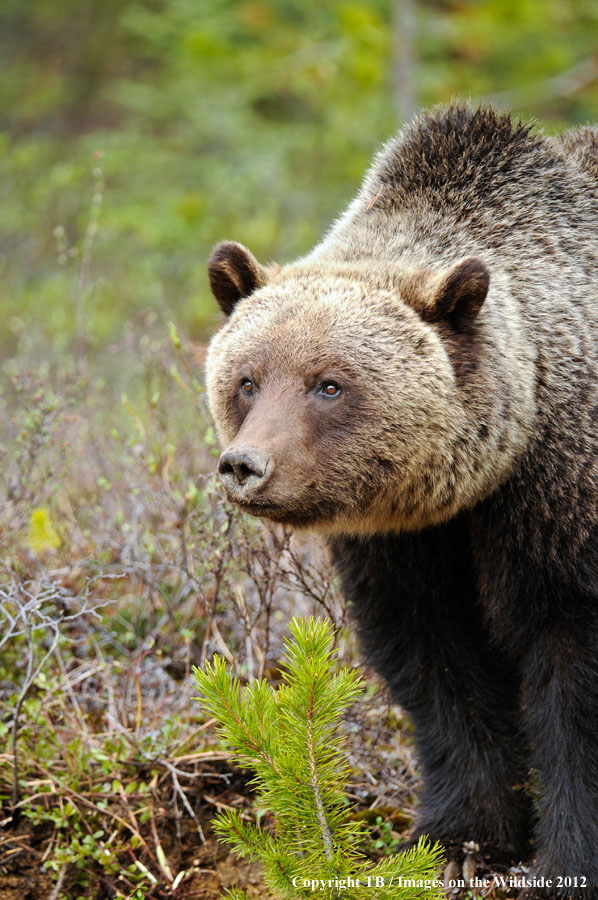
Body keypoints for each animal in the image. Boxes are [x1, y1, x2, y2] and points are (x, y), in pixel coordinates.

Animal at [205, 103, 598, 892]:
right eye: (247, 379)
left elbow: (572, 676)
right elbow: (435, 663)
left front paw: (567, 857)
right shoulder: (405, 539)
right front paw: (456, 836)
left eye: (329, 384)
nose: (246, 466)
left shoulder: (557, 499)